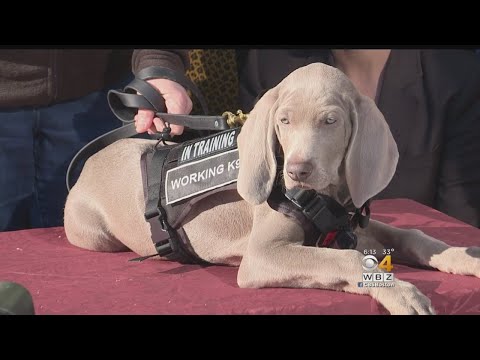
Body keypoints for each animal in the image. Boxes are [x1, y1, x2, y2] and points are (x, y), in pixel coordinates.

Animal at [63, 63, 480, 314]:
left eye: (331, 121)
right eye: (283, 121)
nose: (297, 170)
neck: (325, 198)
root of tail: (86, 167)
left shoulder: (348, 226)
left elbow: (412, 235)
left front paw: (462, 256)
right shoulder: (262, 255)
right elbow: (345, 259)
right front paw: (400, 291)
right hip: (94, 235)